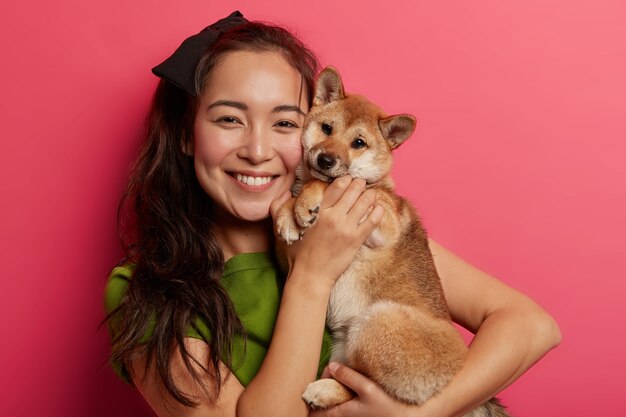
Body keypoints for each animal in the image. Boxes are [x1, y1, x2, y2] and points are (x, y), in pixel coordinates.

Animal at [276, 66, 510, 414]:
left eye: (359, 143)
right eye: (326, 128)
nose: (326, 160)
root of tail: (458, 369)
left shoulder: (381, 218)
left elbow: (331, 184)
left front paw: (306, 201)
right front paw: (286, 214)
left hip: (378, 322)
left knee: (364, 387)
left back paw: (324, 391)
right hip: (345, 344)